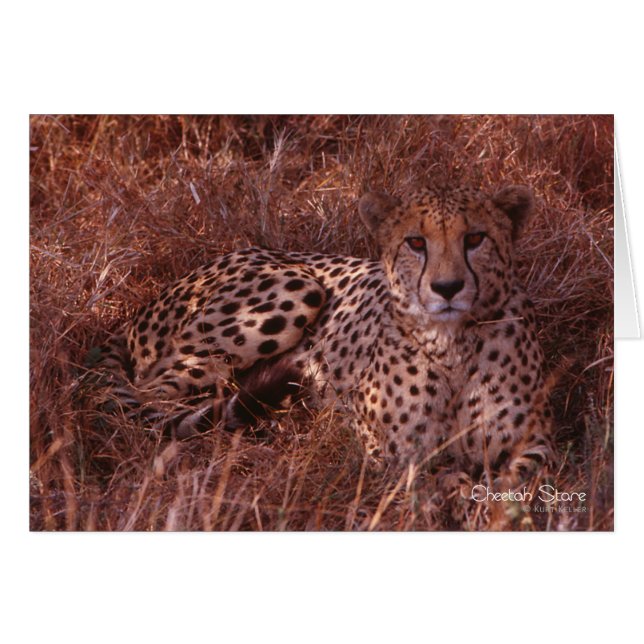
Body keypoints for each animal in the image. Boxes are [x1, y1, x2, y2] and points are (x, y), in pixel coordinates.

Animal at [88, 182, 554, 483]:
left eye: (475, 238)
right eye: (416, 243)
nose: (448, 288)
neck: (452, 343)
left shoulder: (538, 442)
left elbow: (517, 481)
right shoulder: (387, 452)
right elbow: (435, 478)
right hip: (296, 288)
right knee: (152, 398)